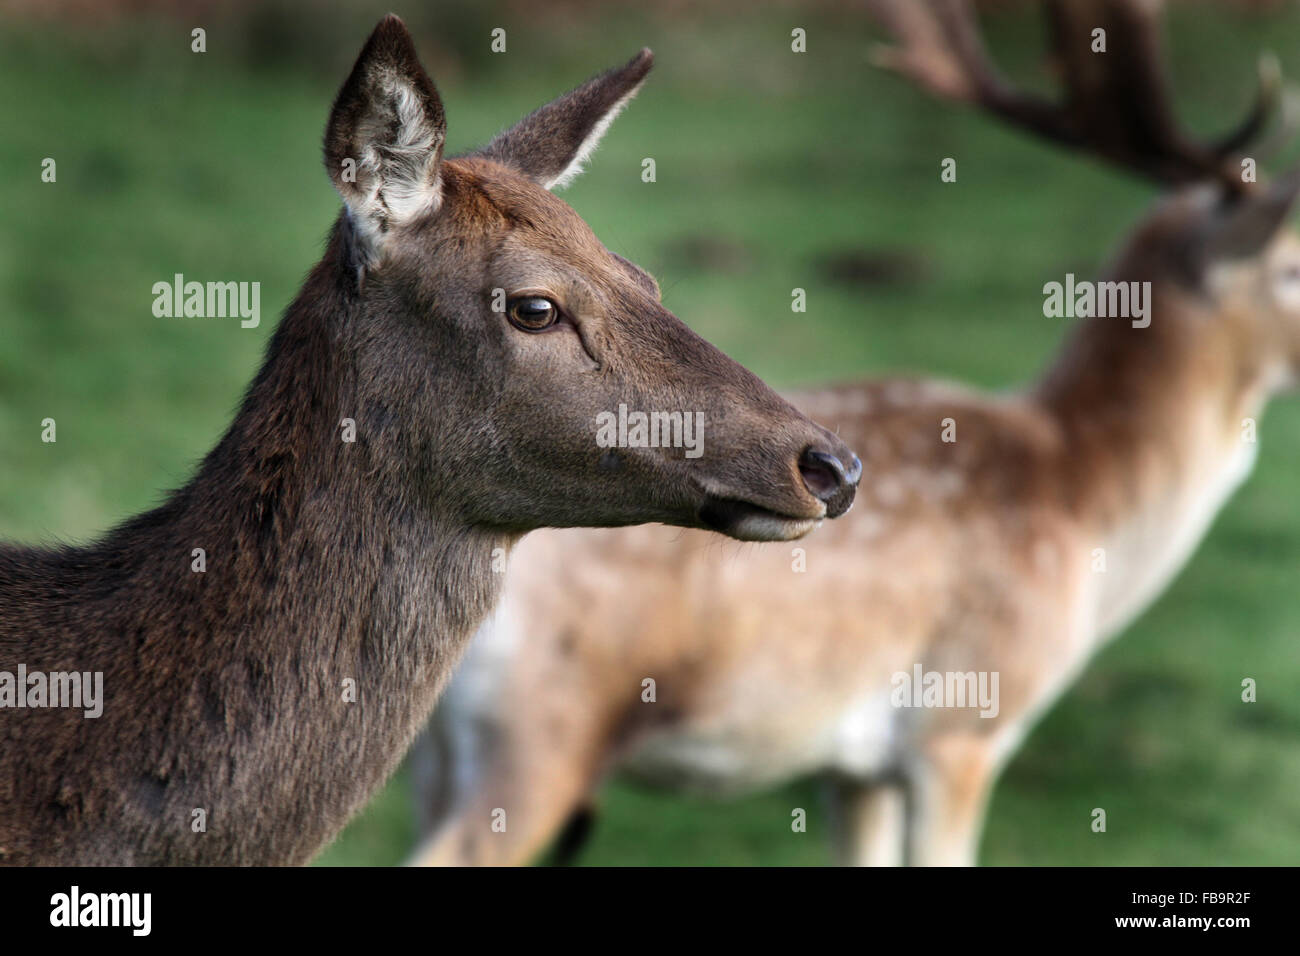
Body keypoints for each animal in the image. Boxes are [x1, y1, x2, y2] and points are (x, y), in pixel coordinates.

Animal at [410, 0, 1300, 868]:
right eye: (1293, 266)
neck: (1084, 504)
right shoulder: (961, 723)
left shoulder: (856, 767)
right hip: (540, 728)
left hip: (435, 748)